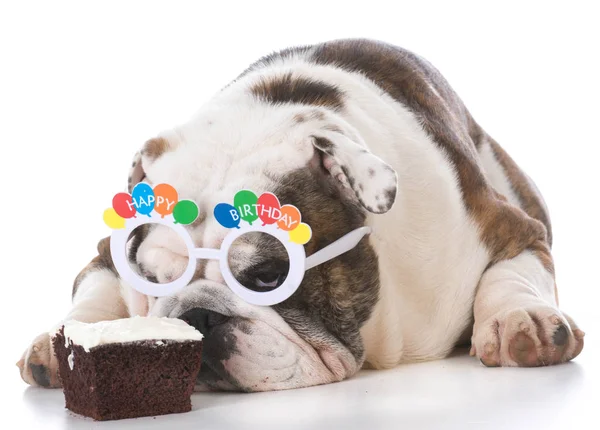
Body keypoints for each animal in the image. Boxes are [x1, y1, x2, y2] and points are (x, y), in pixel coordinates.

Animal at [17, 38, 580, 392]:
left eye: (269, 275)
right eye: (153, 281)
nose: (196, 315)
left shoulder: (510, 230)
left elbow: (512, 273)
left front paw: (520, 319)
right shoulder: (106, 251)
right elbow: (94, 291)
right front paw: (61, 341)